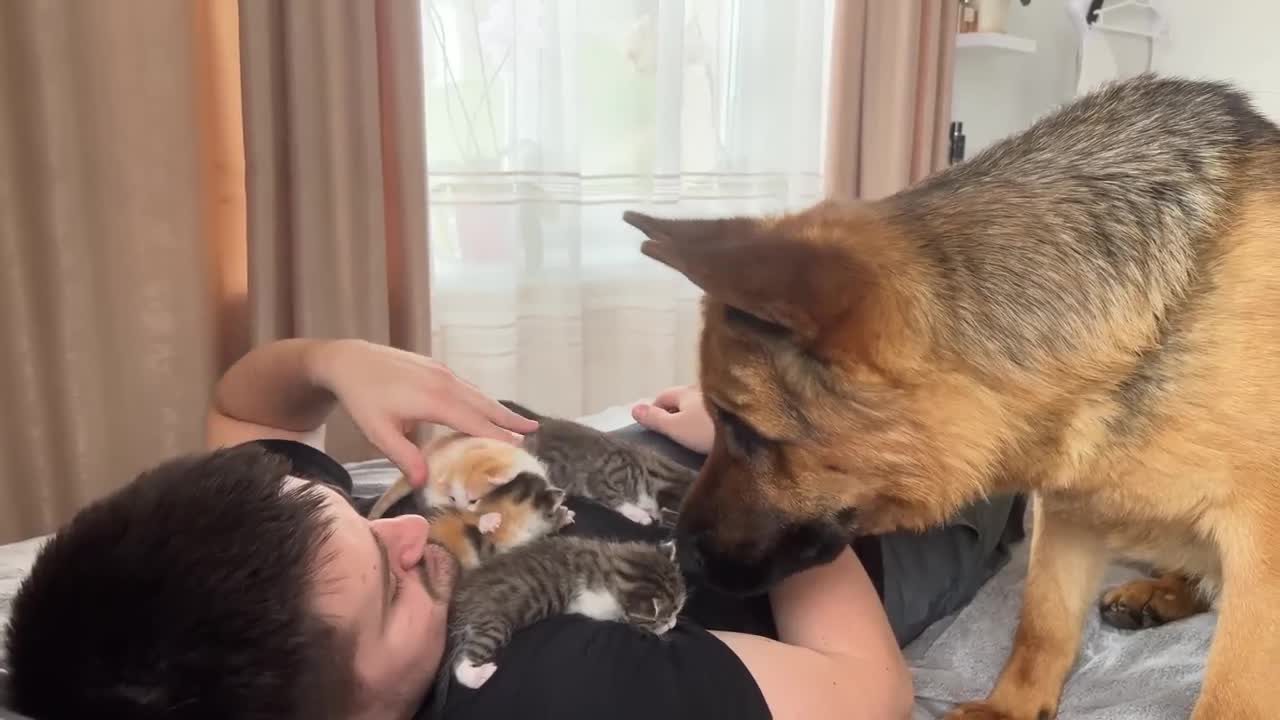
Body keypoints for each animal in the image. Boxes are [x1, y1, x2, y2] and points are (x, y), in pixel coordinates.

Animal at [432, 532, 691, 707]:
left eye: (679, 610)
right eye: (667, 616)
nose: (673, 624)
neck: (616, 566)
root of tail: (460, 602)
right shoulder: (592, 602)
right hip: (494, 622)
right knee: (461, 662)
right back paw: (478, 675)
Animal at [624, 74, 1280, 717]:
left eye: (743, 428)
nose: (680, 553)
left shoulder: (1260, 557)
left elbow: (1230, 697)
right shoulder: (1069, 505)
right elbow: (1042, 623)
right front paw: (1010, 708)